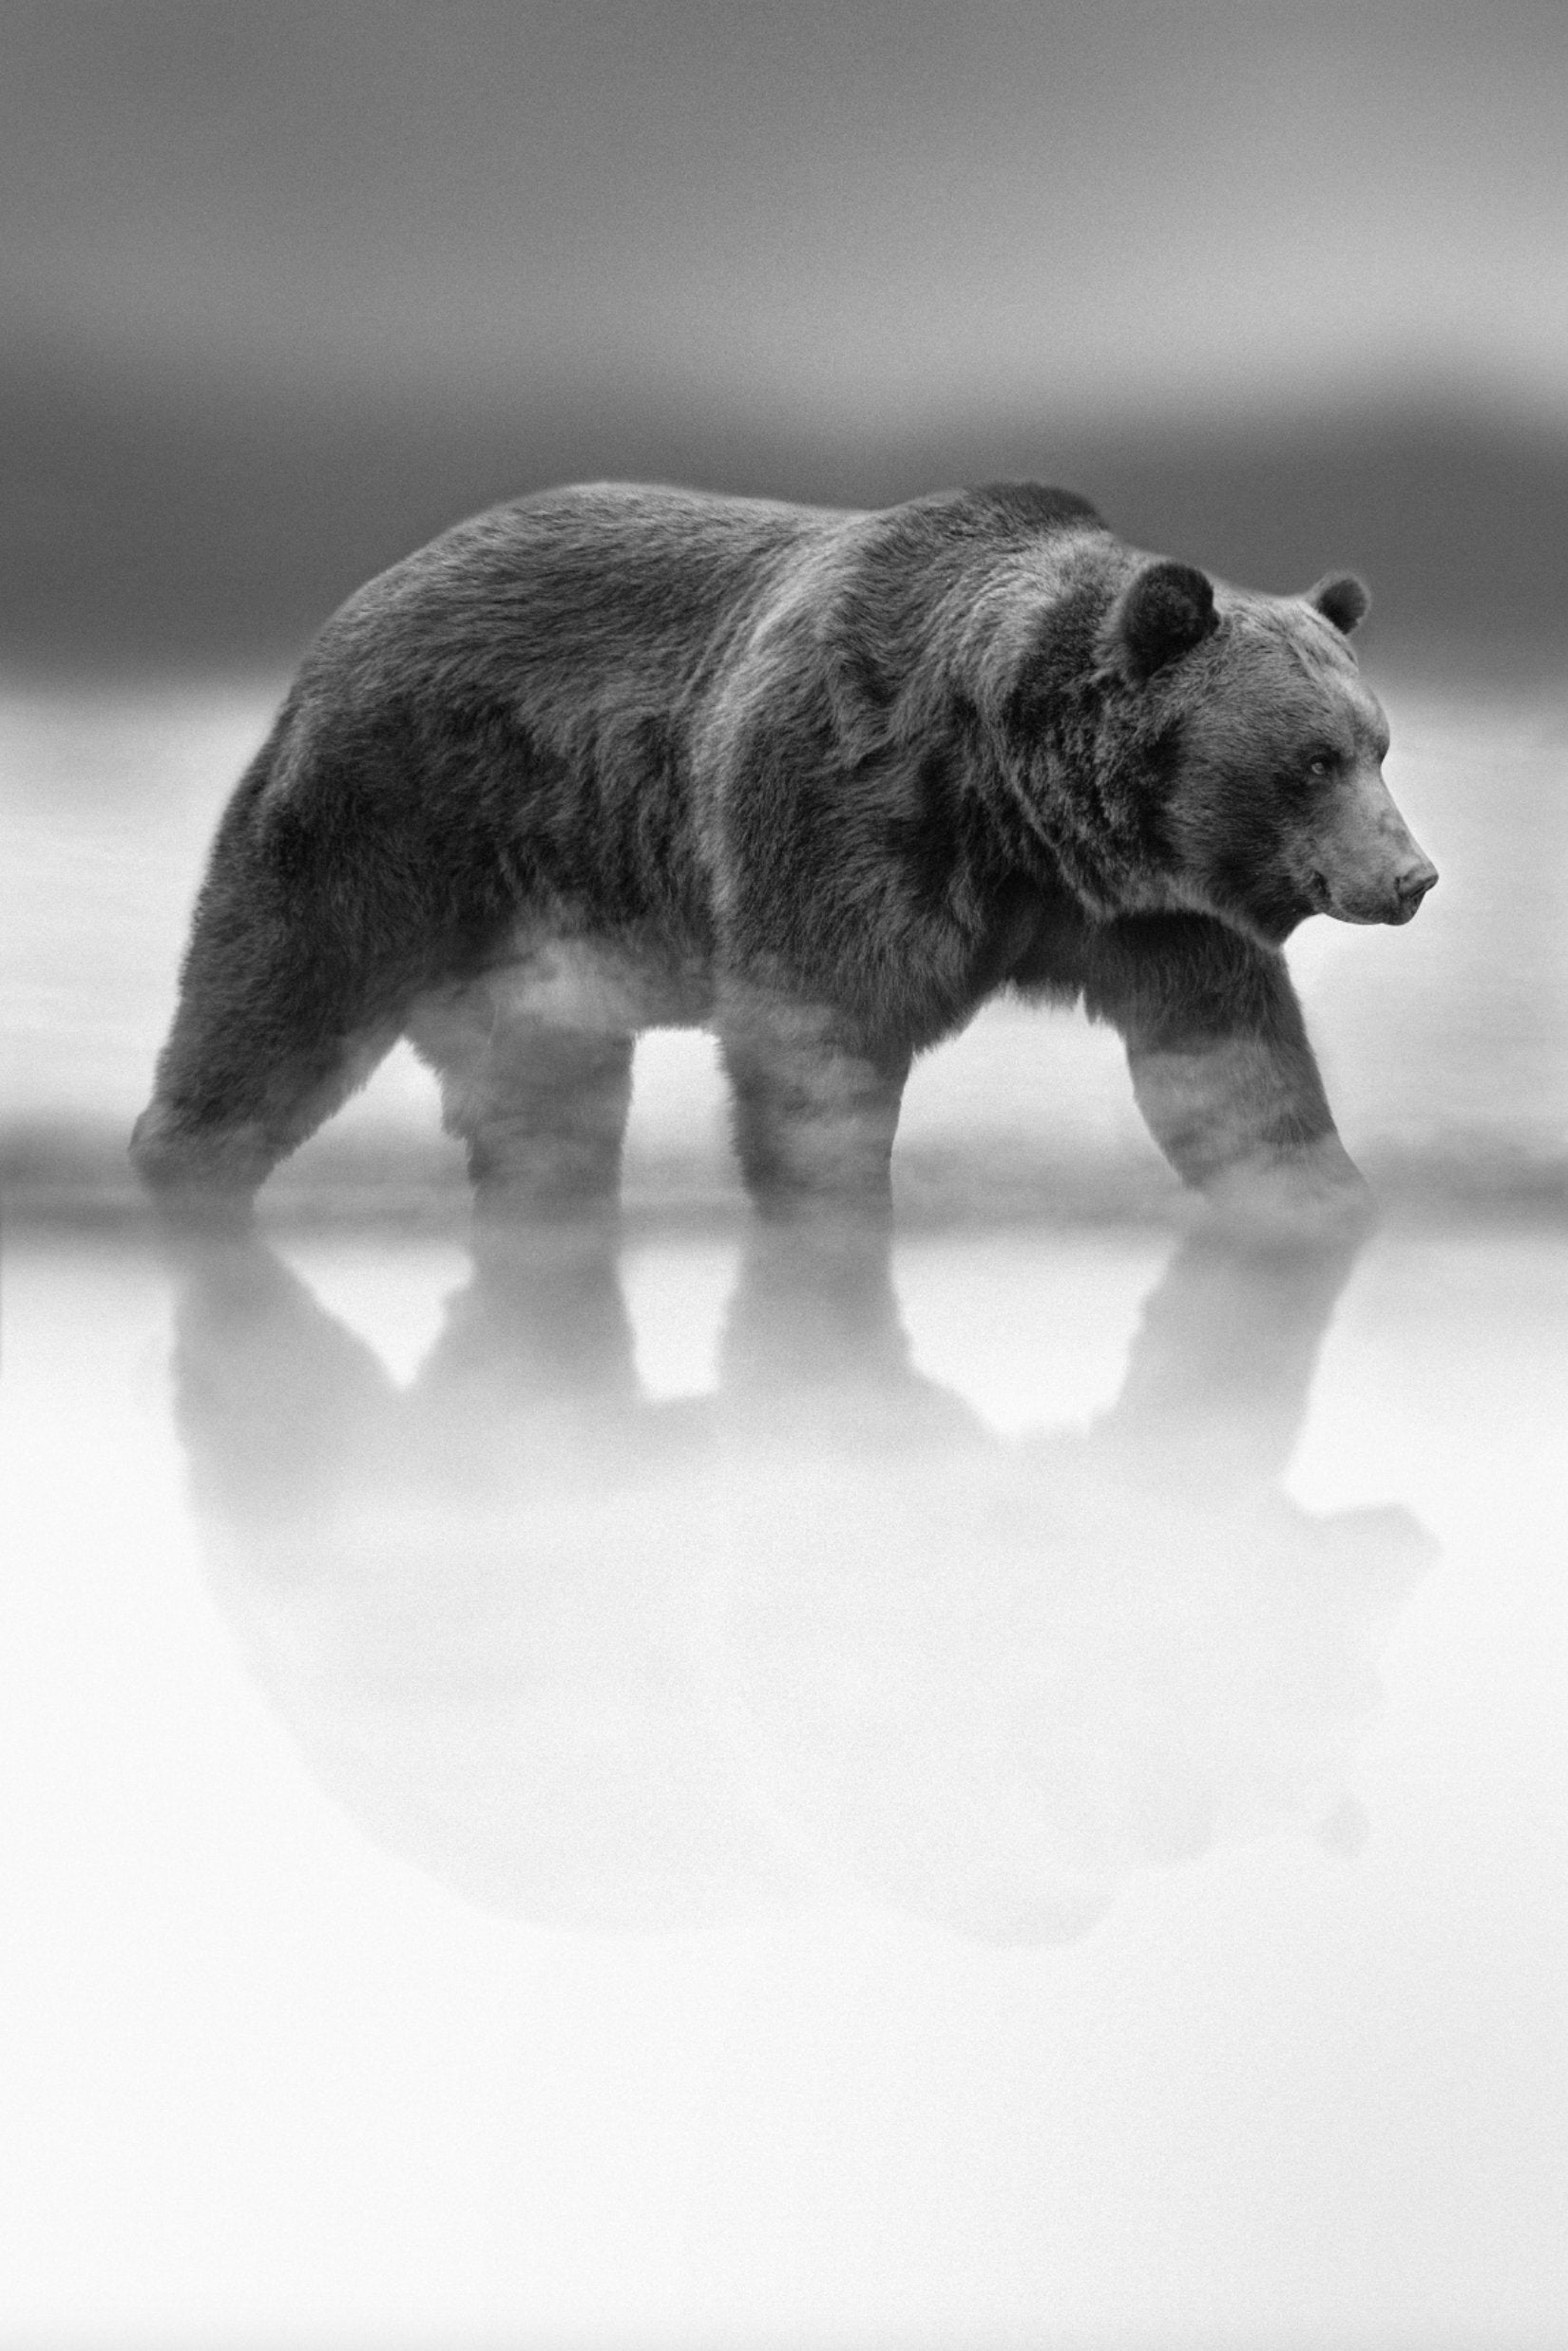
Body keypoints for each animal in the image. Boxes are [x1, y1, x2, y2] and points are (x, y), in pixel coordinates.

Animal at [130, 479, 1437, 1225]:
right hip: (393, 816)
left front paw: (1323, 1195)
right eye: (1312, 759)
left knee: (546, 1098)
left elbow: (1233, 1065)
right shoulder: (842, 820)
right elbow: (821, 1050)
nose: (1411, 877)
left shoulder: (1143, 910)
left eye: (1380, 743)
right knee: (275, 1002)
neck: (1017, 809)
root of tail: (352, 608)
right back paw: (185, 1164)